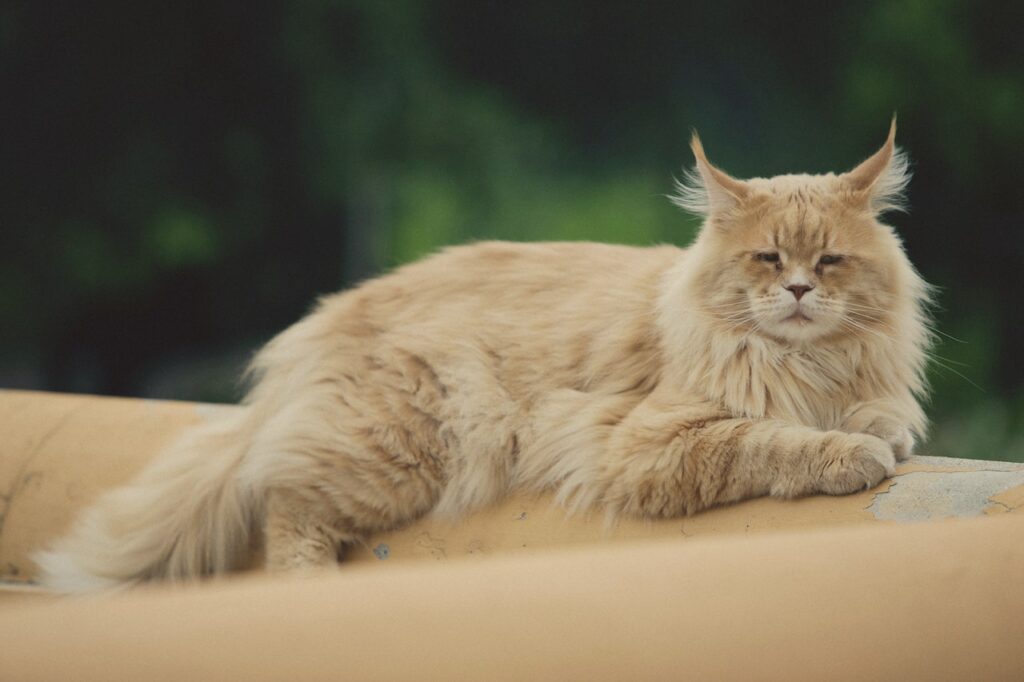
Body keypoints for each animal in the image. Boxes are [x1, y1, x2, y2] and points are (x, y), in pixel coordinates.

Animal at [34, 120, 929, 589]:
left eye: (831, 262)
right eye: (768, 260)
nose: (800, 292)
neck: (807, 364)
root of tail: (320, 327)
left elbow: (875, 413)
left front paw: (877, 428)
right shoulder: (646, 441)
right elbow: (771, 440)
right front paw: (850, 452)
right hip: (402, 446)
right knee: (285, 505)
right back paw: (311, 588)